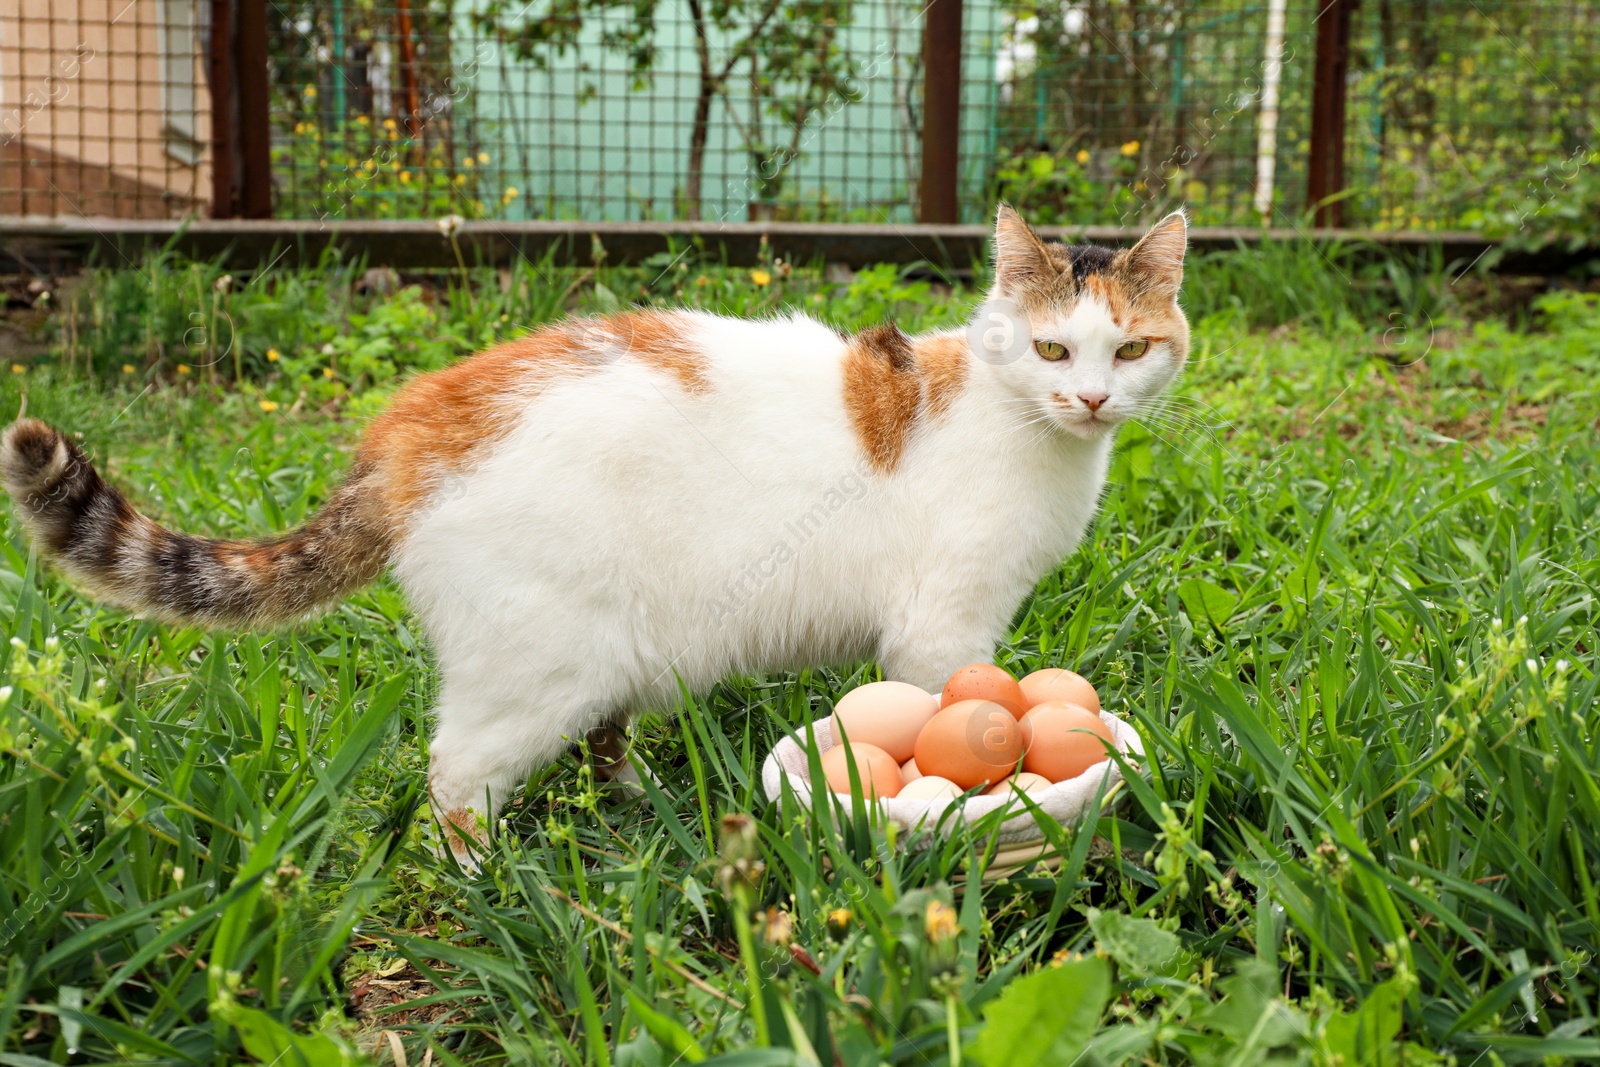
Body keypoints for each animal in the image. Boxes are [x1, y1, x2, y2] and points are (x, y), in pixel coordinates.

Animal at [0, 206, 1190, 857]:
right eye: (1051, 349)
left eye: (1130, 349)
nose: (1091, 399)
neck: (1025, 426)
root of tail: (408, 423)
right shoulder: (943, 631)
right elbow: (951, 707)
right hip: (538, 667)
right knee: (455, 774)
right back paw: (486, 878)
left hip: (619, 652)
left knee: (600, 741)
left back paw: (640, 803)